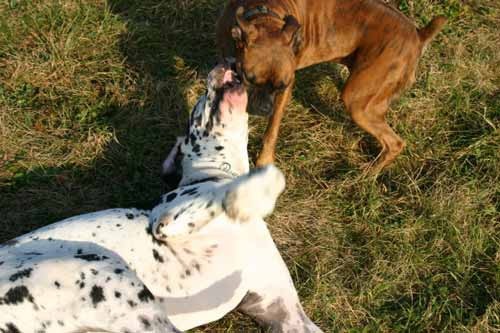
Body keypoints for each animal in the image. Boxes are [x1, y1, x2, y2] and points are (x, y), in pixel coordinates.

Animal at [215, 0, 446, 171]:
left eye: (281, 85)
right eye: (250, 78)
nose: (264, 109)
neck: (265, 13)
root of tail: (418, 34)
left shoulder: (285, 91)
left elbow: (272, 130)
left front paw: (263, 161)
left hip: (356, 102)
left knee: (394, 143)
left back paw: (366, 175)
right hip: (372, 99)